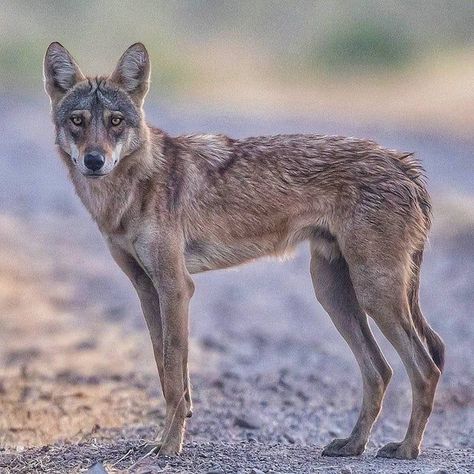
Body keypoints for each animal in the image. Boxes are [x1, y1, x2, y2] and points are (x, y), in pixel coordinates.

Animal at [43, 43, 444, 460]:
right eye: (77, 120)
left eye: (116, 121)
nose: (94, 160)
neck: (130, 190)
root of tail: (403, 163)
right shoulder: (147, 290)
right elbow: (167, 371)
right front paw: (165, 436)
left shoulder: (176, 287)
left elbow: (173, 373)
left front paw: (170, 446)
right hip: (333, 294)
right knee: (380, 371)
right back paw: (353, 444)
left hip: (374, 295)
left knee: (425, 369)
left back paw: (407, 448)